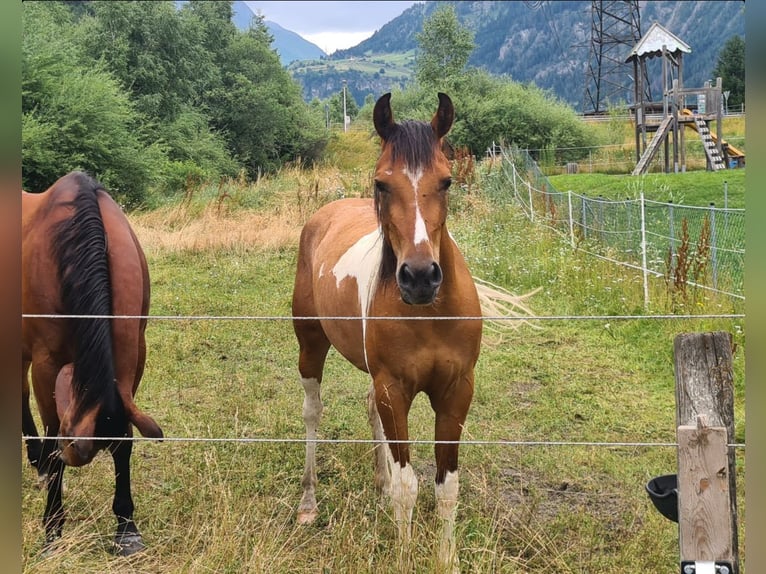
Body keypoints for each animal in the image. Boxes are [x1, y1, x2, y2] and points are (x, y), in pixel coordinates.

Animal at [22, 171, 163, 555]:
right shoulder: (46, 365)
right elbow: (55, 438)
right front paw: (52, 530)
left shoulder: (133, 357)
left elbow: (125, 437)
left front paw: (126, 527)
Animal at [292, 92, 481, 571]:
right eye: (381, 184)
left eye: (446, 181)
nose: (419, 277)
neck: (430, 316)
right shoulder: (395, 389)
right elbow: (408, 486)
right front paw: (405, 554)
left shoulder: (455, 391)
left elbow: (446, 487)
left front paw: (445, 559)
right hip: (310, 346)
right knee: (312, 413)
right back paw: (308, 502)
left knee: (369, 412)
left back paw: (376, 488)